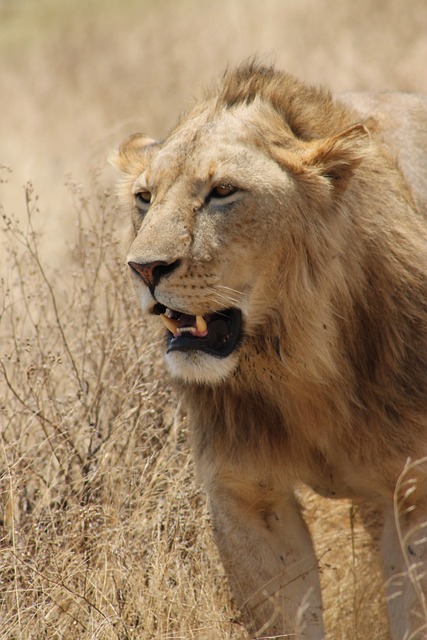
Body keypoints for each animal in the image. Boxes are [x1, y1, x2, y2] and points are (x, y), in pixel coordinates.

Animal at [114, 61, 427, 640]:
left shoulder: (413, 490)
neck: (303, 358)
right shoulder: (245, 495)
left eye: (223, 191)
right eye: (145, 197)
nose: (143, 268)